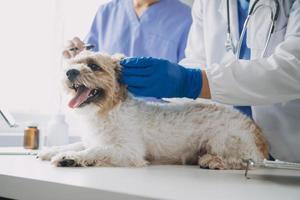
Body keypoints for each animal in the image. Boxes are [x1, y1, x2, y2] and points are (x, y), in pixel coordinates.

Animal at [38, 51, 270, 169]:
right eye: (73, 63)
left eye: (94, 66)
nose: (69, 72)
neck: (106, 110)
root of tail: (258, 135)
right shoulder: (92, 139)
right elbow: (78, 144)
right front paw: (53, 150)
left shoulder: (128, 151)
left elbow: (95, 150)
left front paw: (70, 157)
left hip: (223, 139)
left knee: (242, 160)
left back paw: (212, 160)